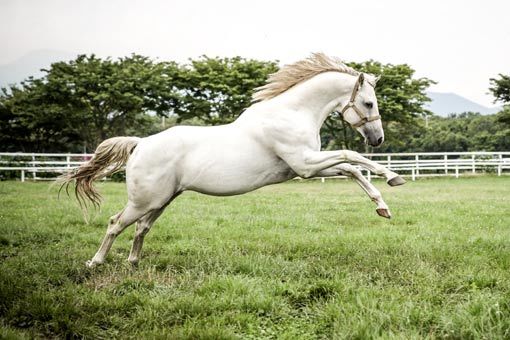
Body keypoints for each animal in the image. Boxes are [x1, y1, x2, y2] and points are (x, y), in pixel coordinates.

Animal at [58, 53, 406, 266]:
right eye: (369, 103)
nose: (378, 139)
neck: (291, 113)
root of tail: (140, 144)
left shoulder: (303, 167)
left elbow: (351, 169)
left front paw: (382, 206)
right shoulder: (305, 163)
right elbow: (352, 157)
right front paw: (393, 177)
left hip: (161, 201)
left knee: (141, 228)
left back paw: (133, 263)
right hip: (145, 200)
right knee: (115, 223)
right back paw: (96, 262)